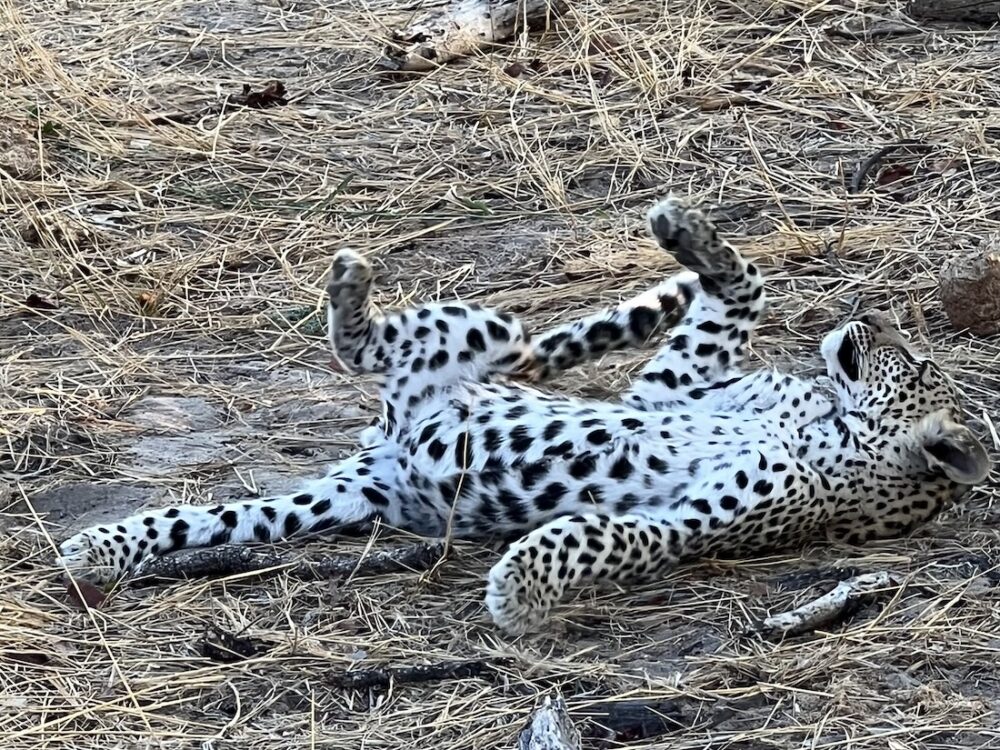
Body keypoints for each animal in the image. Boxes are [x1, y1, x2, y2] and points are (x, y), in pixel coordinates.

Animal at [56, 196, 991, 636]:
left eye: (916, 361)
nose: (870, 317)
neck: (829, 422)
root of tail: (384, 460)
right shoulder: (671, 395)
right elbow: (741, 289)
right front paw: (690, 239)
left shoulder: (695, 522)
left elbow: (601, 534)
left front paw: (517, 591)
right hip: (461, 358)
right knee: (480, 344)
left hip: (426, 391)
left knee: (368, 360)